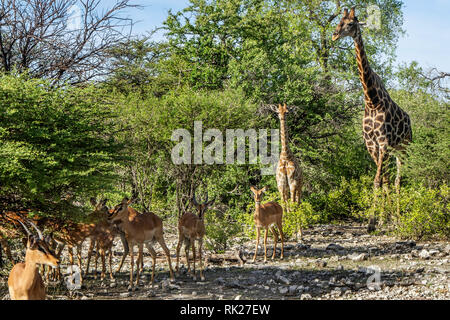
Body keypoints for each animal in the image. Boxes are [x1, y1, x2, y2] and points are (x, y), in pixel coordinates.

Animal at [330, 7, 412, 231]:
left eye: (351, 24)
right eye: (339, 22)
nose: (334, 35)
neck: (371, 100)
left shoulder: (383, 143)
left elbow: (378, 181)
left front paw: (373, 222)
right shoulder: (372, 145)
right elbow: (380, 180)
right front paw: (381, 219)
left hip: (404, 148)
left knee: (398, 180)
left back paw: (399, 218)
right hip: (393, 150)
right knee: (389, 179)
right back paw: (390, 217)